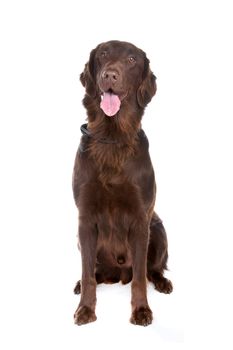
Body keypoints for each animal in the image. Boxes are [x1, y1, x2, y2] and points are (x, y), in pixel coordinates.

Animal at [73, 41, 173, 328]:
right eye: (103, 54)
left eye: (131, 60)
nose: (110, 75)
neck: (112, 137)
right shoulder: (85, 219)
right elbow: (87, 274)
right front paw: (85, 309)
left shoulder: (141, 218)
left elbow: (139, 276)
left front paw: (141, 311)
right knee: (93, 272)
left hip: (158, 229)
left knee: (152, 270)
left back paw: (163, 282)